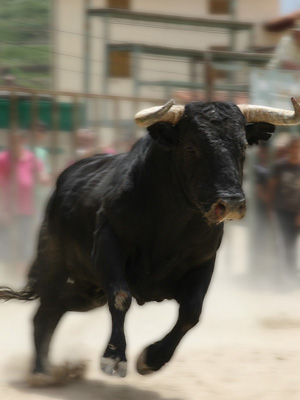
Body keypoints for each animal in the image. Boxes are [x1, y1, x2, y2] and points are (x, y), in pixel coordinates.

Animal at [0, 101, 276, 382]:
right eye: (191, 147)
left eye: (242, 147)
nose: (230, 203)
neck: (172, 221)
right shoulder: (109, 243)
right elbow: (121, 297)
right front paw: (115, 357)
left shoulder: (204, 260)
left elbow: (191, 312)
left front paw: (152, 359)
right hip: (54, 264)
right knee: (44, 312)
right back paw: (41, 372)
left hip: (88, 291)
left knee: (57, 307)